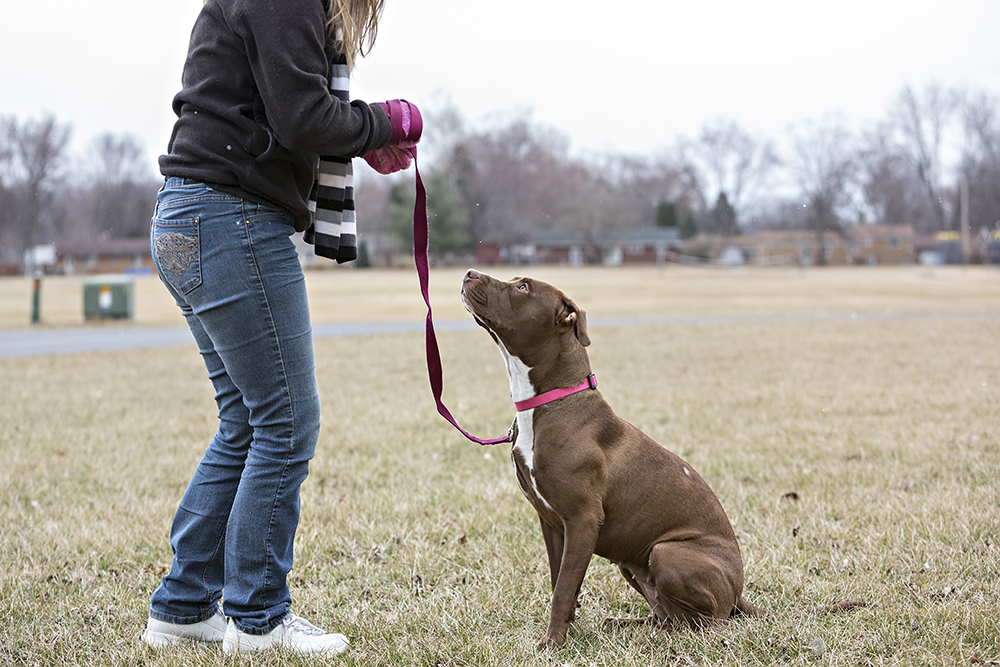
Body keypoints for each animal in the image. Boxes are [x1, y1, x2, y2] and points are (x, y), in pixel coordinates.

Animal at [460, 270, 860, 648]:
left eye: (523, 287)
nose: (469, 273)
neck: (552, 401)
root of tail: (738, 593)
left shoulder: (582, 520)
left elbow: (562, 590)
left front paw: (552, 643)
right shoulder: (553, 523)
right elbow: (562, 582)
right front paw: (566, 630)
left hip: (666, 552)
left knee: (709, 622)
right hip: (633, 563)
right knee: (671, 614)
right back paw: (631, 624)